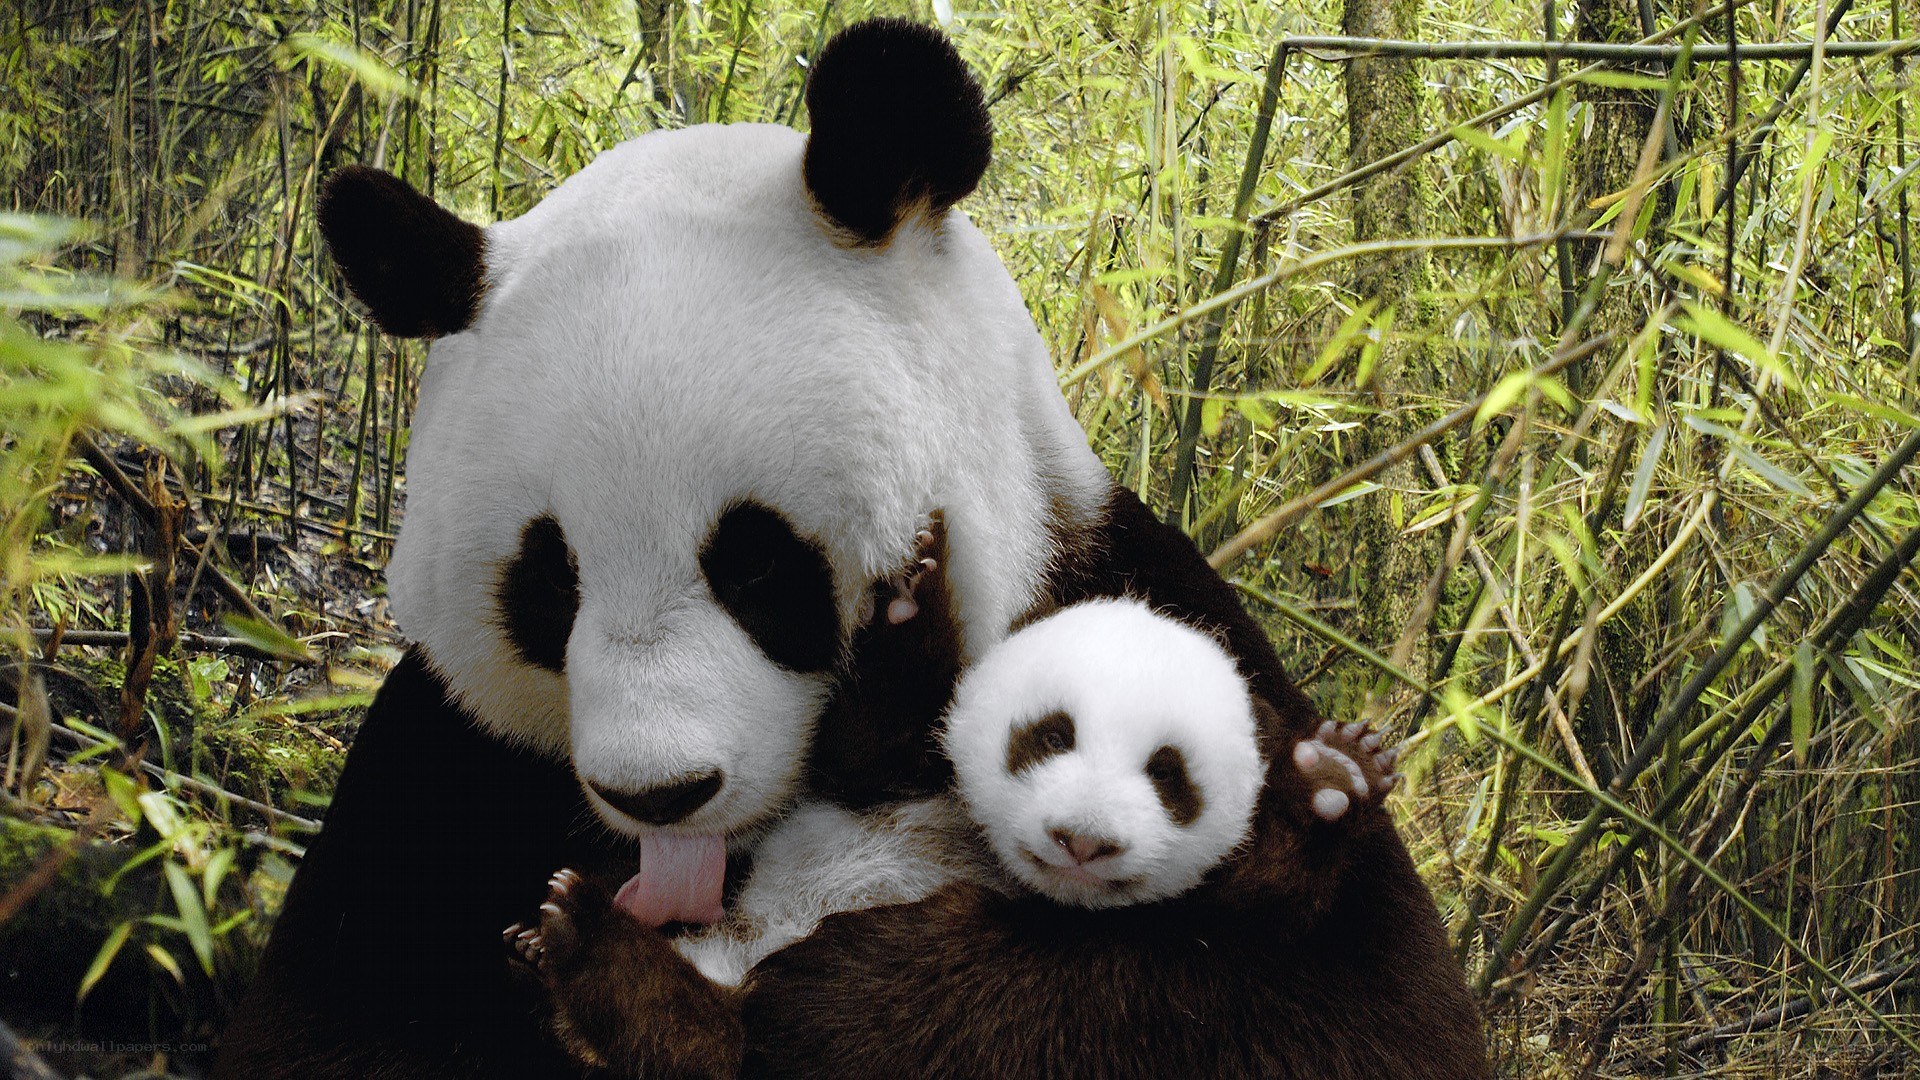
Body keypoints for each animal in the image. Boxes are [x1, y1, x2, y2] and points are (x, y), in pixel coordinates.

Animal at [215, 18, 1489, 1080]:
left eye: (757, 565)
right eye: (550, 582)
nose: (661, 796)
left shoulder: (1136, 600)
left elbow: (1334, 1008)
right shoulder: (442, 767)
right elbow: (333, 1025)